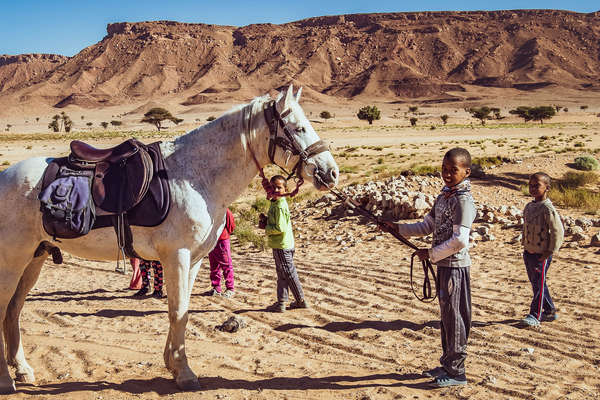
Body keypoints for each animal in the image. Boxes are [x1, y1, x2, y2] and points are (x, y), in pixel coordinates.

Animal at [0, 86, 338, 392]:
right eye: (298, 128)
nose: (331, 173)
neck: (194, 176)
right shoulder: (177, 255)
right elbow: (177, 311)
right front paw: (185, 373)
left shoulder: (195, 260)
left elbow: (182, 312)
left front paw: (174, 366)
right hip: (12, 261)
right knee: (4, 308)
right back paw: (7, 380)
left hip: (34, 258)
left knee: (13, 310)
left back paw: (23, 370)